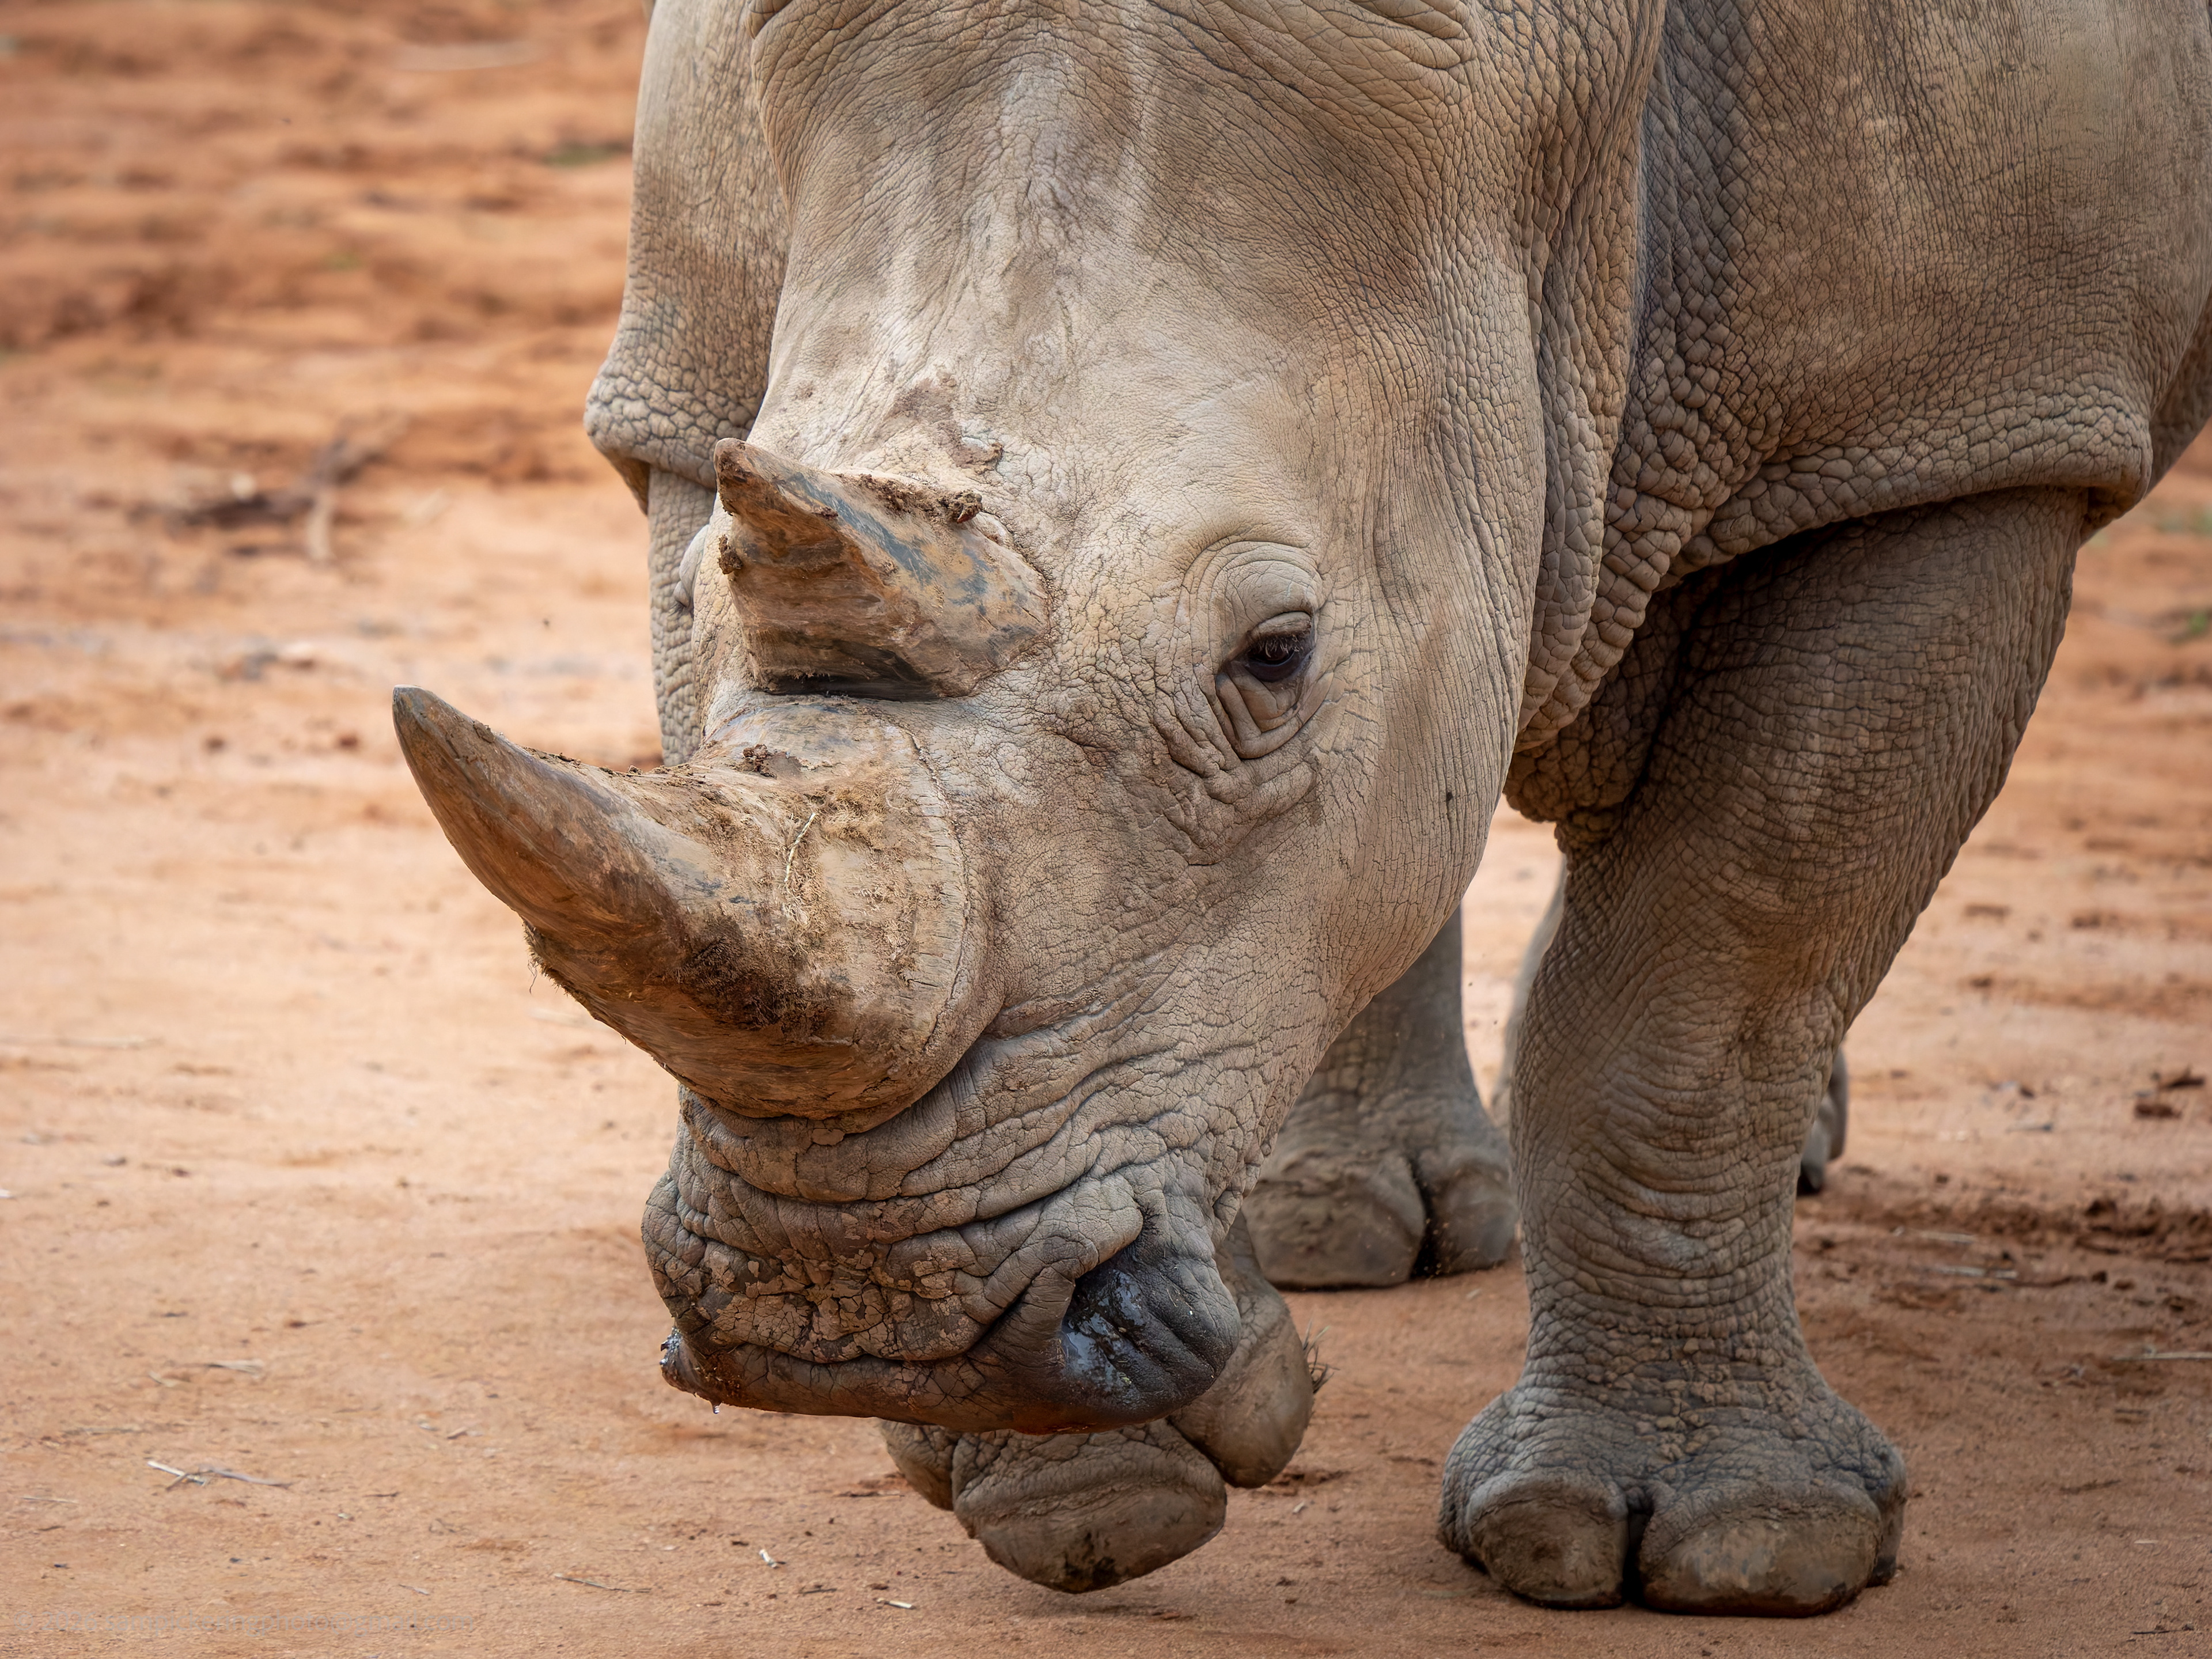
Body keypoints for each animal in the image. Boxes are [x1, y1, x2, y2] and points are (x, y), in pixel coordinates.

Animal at [393, 0, 2212, 1617]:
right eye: (703, 591)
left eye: (1275, 656)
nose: (858, 1308)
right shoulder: (689, 381)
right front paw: (1093, 1489)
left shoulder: (1950, 430)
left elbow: (1705, 987)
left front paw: (1723, 1550)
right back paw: (1337, 1231)